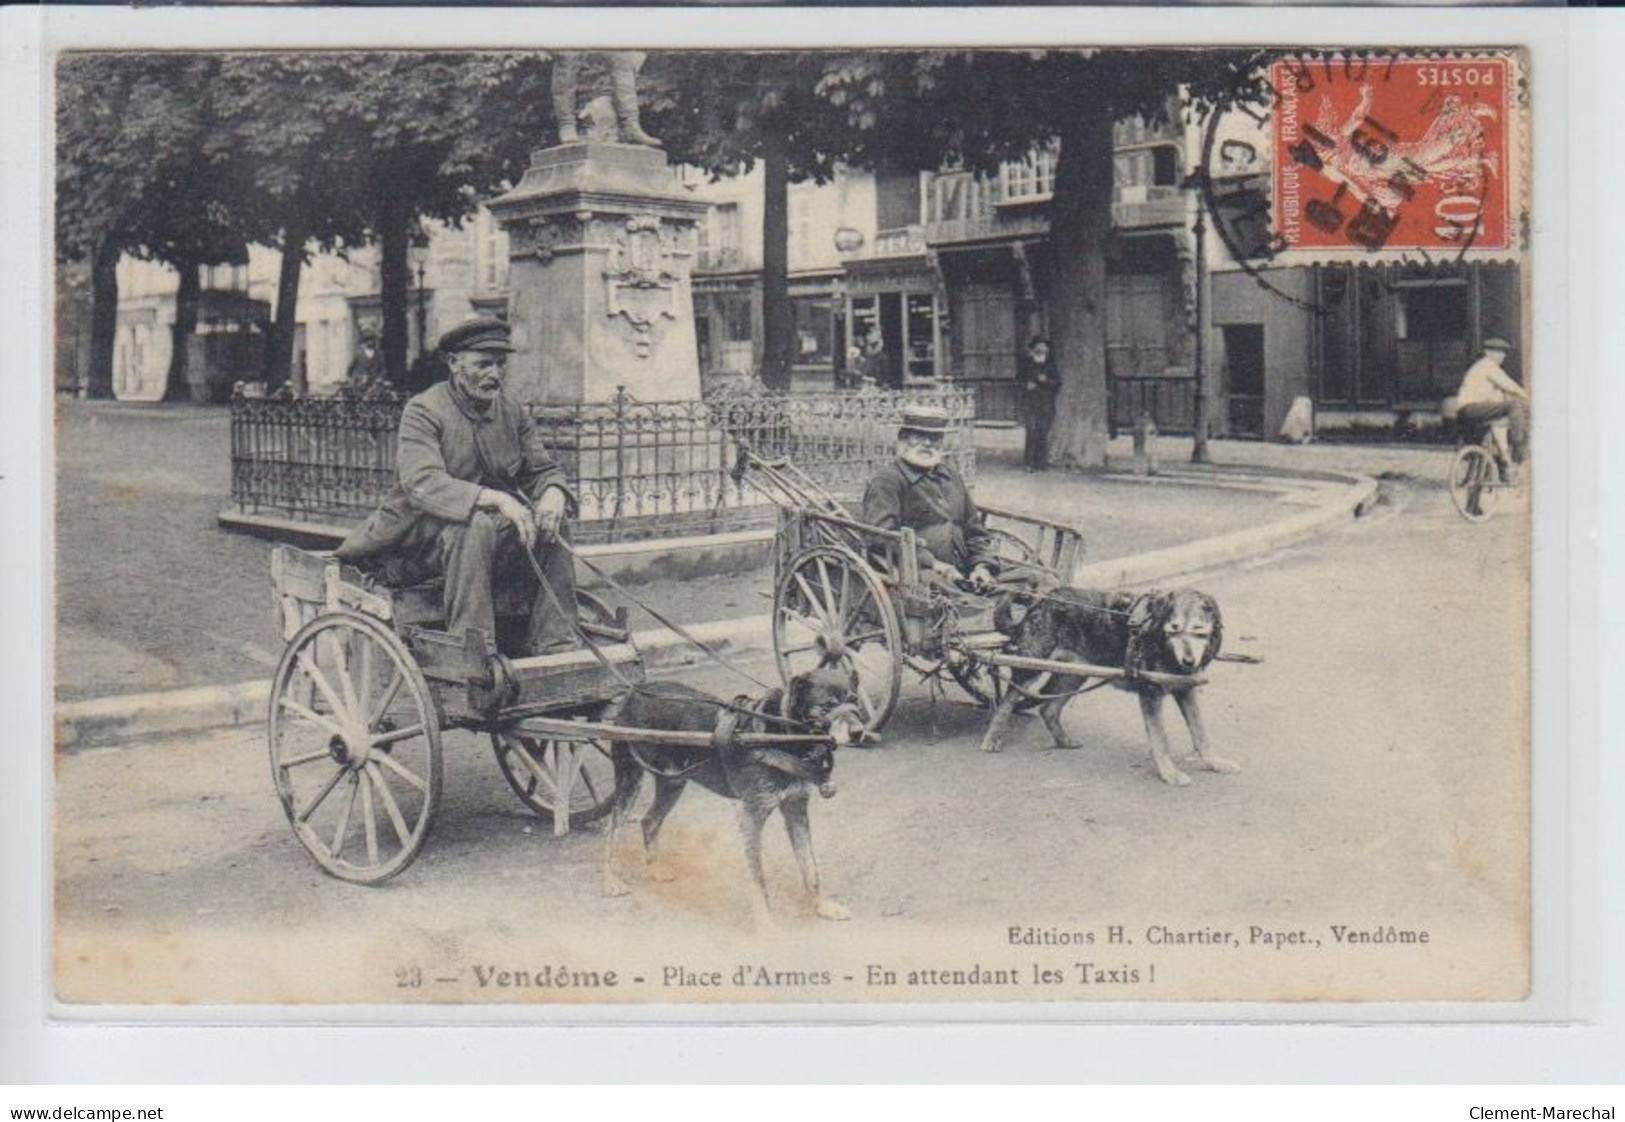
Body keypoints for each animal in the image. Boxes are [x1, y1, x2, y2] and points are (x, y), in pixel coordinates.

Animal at [604, 669, 871, 923]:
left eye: (854, 701)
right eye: (827, 706)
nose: (859, 733)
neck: (783, 734)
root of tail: (632, 693)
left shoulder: (796, 806)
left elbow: (810, 866)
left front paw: (822, 906)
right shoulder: (751, 813)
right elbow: (758, 881)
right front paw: (766, 926)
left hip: (672, 781)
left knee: (649, 820)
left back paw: (654, 868)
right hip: (630, 775)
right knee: (613, 827)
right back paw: (612, 879)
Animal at [975, 582, 1228, 783]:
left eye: (1199, 631)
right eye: (1173, 629)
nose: (1188, 661)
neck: (1162, 644)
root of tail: (1039, 601)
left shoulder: (1186, 690)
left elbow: (1200, 732)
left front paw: (1215, 762)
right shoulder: (1150, 694)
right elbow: (1161, 740)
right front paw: (1170, 774)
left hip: (1074, 674)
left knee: (1048, 708)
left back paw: (1064, 741)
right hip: (1030, 667)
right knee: (1006, 704)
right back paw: (990, 740)